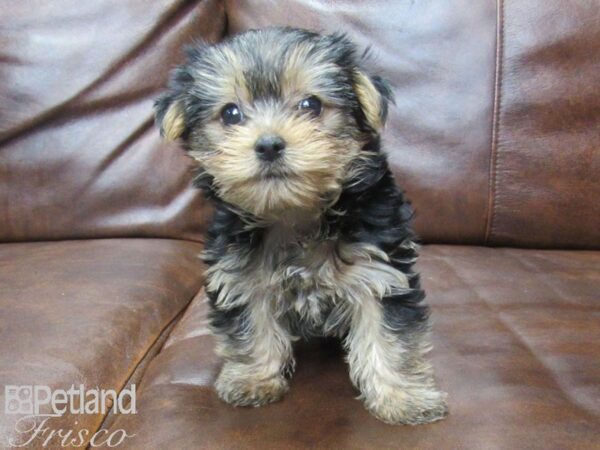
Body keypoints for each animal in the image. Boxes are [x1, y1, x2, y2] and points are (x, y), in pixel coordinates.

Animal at [157, 27, 448, 426]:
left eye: (311, 104)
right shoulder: (241, 276)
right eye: (230, 113)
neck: (293, 212)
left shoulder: (379, 272)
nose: (268, 144)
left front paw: (404, 397)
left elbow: (389, 335)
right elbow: (250, 326)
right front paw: (253, 379)